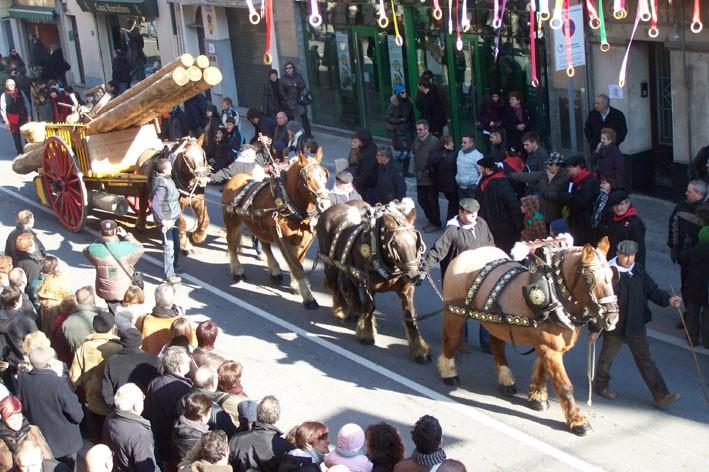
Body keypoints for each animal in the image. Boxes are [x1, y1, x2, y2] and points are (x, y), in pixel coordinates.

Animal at [221, 150, 330, 306]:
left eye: (324, 176)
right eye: (308, 178)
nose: (324, 204)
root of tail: (235, 177)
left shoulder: (305, 239)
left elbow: (299, 261)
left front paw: (296, 285)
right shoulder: (281, 238)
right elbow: (295, 266)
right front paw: (308, 297)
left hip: (258, 225)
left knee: (264, 245)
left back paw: (274, 271)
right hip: (231, 221)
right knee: (232, 244)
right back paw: (237, 271)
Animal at [316, 199, 428, 362]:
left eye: (416, 240)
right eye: (394, 244)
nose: (414, 275)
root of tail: (329, 209)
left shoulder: (406, 289)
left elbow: (410, 317)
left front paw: (419, 349)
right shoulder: (367, 285)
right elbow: (370, 308)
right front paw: (366, 334)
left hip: (349, 267)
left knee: (350, 284)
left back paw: (356, 310)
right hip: (330, 263)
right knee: (335, 286)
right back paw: (341, 310)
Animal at [440, 238, 616, 436]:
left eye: (612, 275)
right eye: (589, 277)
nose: (612, 318)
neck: (556, 295)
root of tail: (466, 254)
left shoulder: (546, 347)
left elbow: (543, 372)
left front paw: (538, 398)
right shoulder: (550, 350)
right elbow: (564, 386)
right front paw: (578, 421)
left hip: (496, 322)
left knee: (497, 346)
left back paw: (506, 380)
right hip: (454, 313)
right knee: (451, 339)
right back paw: (449, 373)